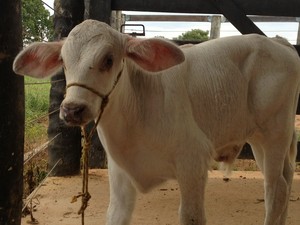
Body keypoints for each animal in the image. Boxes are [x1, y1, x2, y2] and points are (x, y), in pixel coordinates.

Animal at [12, 19, 298, 225]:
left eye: (108, 59)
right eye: (63, 60)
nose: (72, 109)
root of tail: (278, 42)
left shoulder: (193, 161)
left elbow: (191, 217)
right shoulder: (120, 172)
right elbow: (114, 216)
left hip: (274, 134)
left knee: (276, 191)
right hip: (260, 141)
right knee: (283, 182)